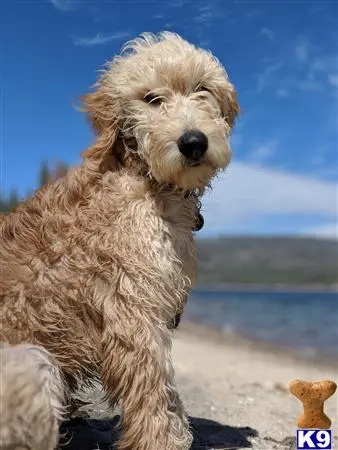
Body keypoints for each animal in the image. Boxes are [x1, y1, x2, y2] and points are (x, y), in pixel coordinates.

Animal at [0, 32, 239, 450]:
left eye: (202, 89)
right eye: (152, 98)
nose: (193, 142)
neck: (143, 176)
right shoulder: (132, 308)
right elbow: (153, 386)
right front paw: (163, 440)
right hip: (31, 363)